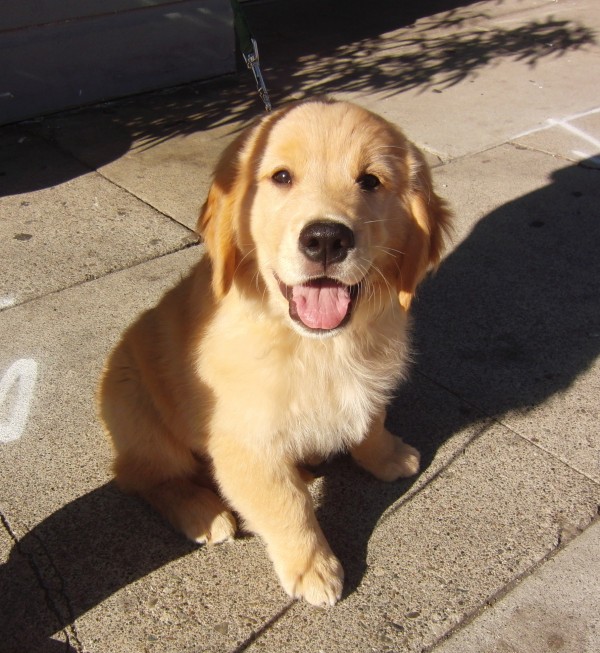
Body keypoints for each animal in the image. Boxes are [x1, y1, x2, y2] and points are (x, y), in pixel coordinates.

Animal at [99, 98, 450, 608]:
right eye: (281, 177)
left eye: (370, 181)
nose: (326, 239)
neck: (316, 346)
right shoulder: (245, 440)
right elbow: (287, 505)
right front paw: (313, 568)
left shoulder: (371, 378)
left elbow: (370, 420)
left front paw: (386, 456)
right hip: (137, 405)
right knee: (142, 475)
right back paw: (202, 511)